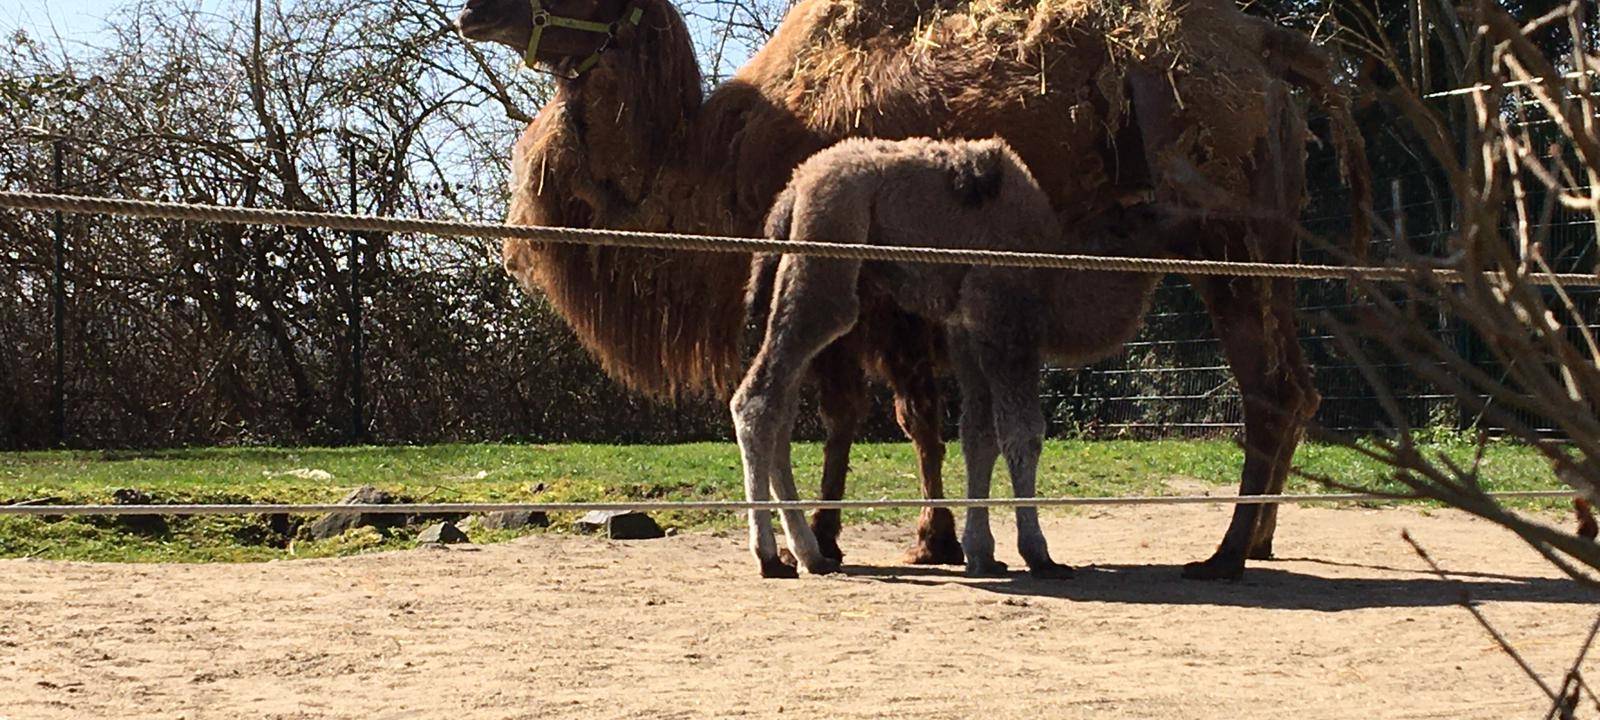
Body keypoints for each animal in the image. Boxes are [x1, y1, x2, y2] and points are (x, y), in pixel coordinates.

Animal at [737, 136, 1164, 577]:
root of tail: (794, 187)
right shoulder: (1007, 322)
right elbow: (1022, 432)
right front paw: (1038, 554)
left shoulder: (967, 333)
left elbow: (978, 434)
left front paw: (982, 552)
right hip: (828, 246)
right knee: (761, 396)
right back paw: (770, 555)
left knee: (782, 404)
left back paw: (810, 553)